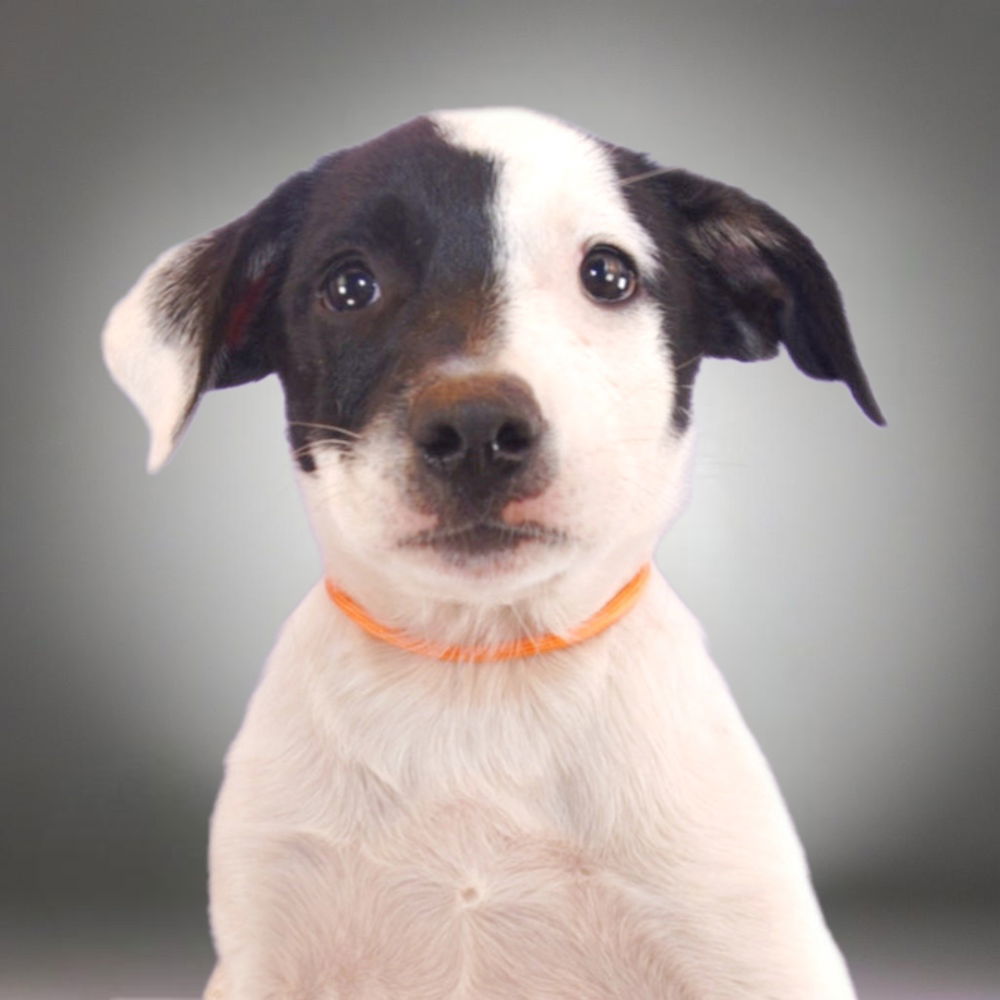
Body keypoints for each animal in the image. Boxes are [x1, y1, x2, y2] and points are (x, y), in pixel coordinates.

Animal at [101, 109, 884, 1000]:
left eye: (608, 274)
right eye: (350, 286)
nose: (476, 429)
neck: (482, 668)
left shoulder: (755, 949)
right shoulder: (266, 953)